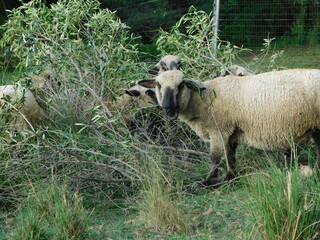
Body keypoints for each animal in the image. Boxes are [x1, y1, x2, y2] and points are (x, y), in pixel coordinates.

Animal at [138, 69, 320, 186]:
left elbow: (214, 158)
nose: (168, 109)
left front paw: (207, 181)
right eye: (158, 85)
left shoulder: (219, 130)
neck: (203, 100)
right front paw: (230, 177)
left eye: (181, 84)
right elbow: (230, 156)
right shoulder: (232, 133)